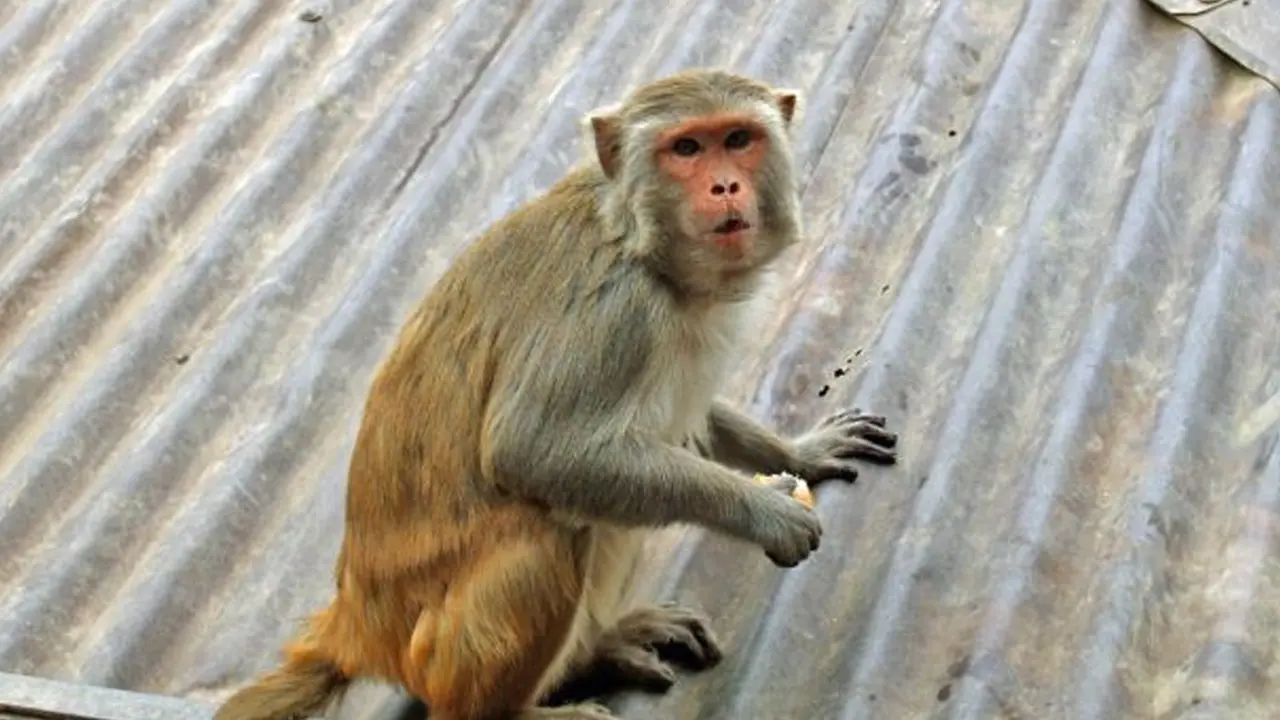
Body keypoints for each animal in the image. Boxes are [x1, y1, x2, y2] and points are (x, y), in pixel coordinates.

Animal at [213, 68, 898, 720]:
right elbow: (535, 451)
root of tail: (356, 623)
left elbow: (693, 418)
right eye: (686, 148)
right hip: (438, 654)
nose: (725, 186)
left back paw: (603, 645)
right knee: (548, 528)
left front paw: (800, 450)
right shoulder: (613, 311)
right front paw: (767, 513)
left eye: (737, 139)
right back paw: (511, 711)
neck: (642, 244)